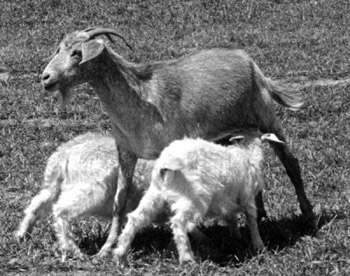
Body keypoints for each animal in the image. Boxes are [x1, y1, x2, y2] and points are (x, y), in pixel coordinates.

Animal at [42, 27, 316, 256]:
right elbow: (119, 201)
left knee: (291, 162)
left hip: (266, 116)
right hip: (239, 130)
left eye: (77, 53)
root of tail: (249, 61)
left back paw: (308, 217)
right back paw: (258, 216)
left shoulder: (169, 148)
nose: (46, 78)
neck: (140, 98)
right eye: (59, 49)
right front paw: (106, 249)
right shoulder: (126, 151)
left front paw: (201, 237)